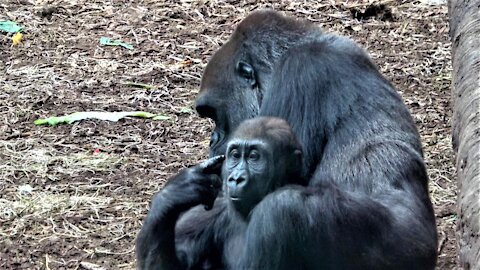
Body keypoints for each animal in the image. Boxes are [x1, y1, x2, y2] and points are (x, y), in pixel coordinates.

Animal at [137, 116, 306, 270]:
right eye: (235, 155)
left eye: (254, 157)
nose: (236, 178)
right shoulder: (216, 208)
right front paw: (175, 193)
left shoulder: (281, 206)